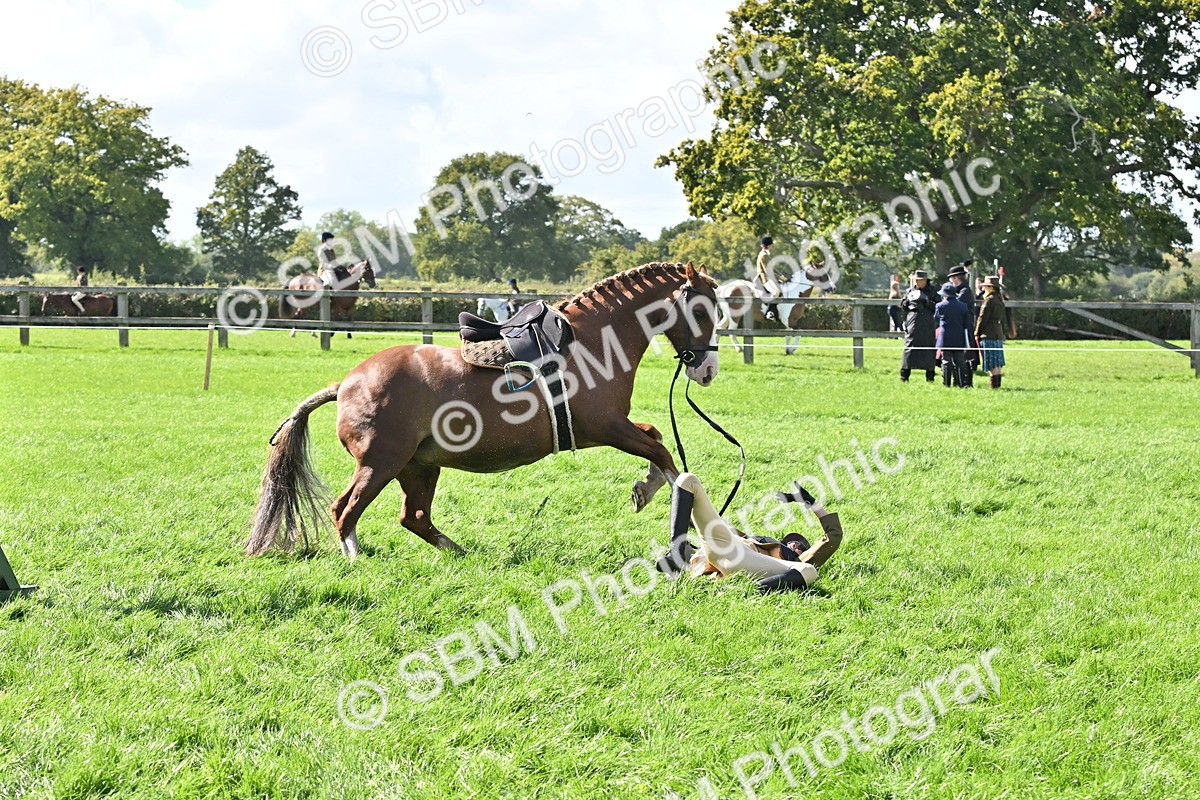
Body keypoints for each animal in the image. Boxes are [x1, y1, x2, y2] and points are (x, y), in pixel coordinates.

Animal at [246, 262, 721, 560]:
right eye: (701, 309)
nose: (708, 369)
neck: (592, 342)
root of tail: (345, 383)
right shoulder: (606, 426)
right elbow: (664, 454)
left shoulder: (610, 427)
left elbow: (657, 439)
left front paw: (644, 489)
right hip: (382, 463)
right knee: (345, 510)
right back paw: (355, 560)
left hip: (419, 467)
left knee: (414, 517)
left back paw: (460, 552)